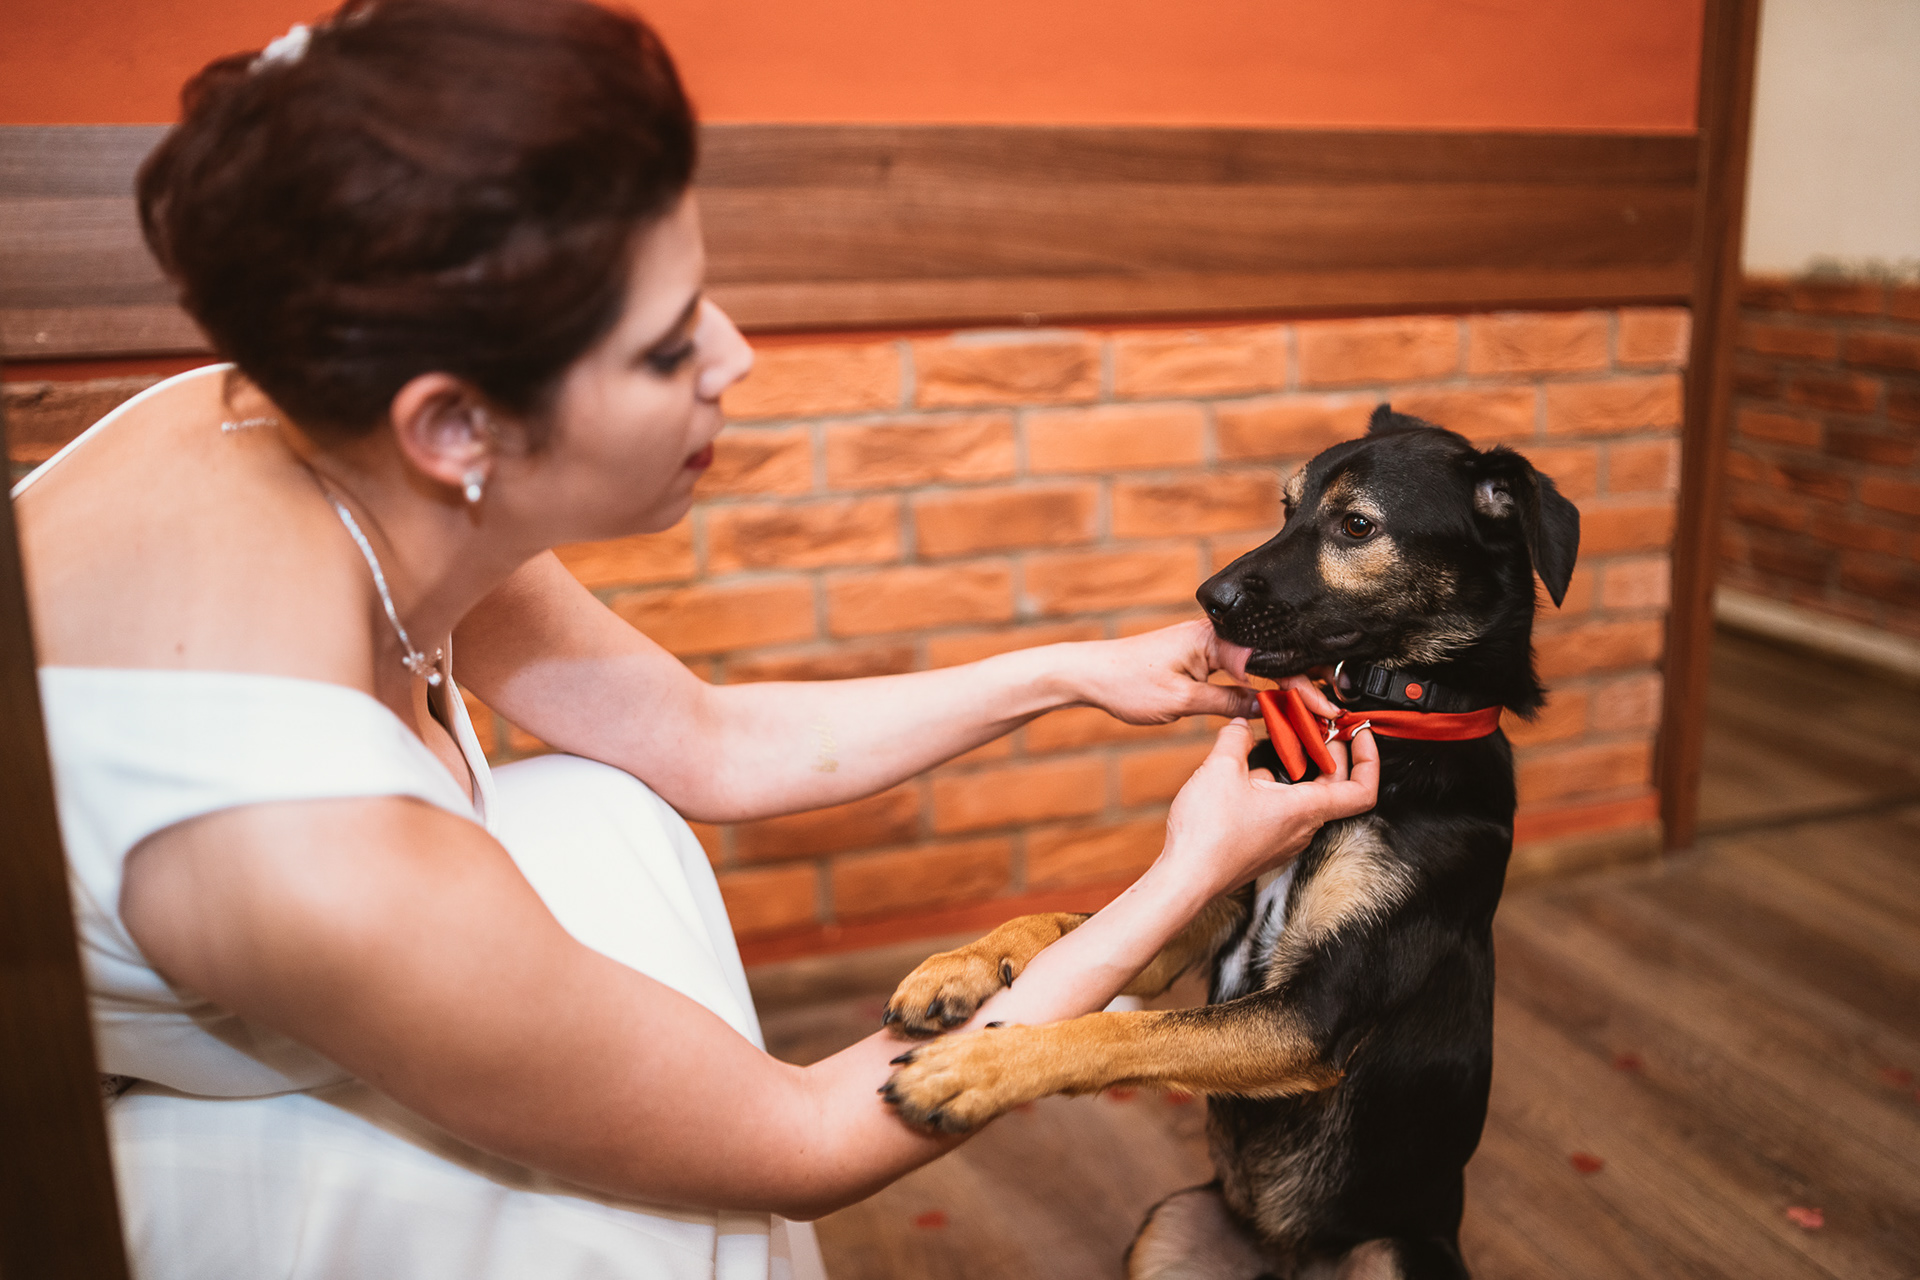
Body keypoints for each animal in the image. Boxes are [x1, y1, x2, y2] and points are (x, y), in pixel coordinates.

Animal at [877, 406, 1580, 1279]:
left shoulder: (1313, 1012)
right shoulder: (1208, 908)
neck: (1380, 730)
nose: (1207, 599)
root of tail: (1279, 1262)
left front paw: (978, 1068)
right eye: (1286, 507)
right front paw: (958, 968)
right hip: (1167, 1227)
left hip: (1396, 1249)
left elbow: (1125, 1028)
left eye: (1356, 525)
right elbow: (1068, 925)